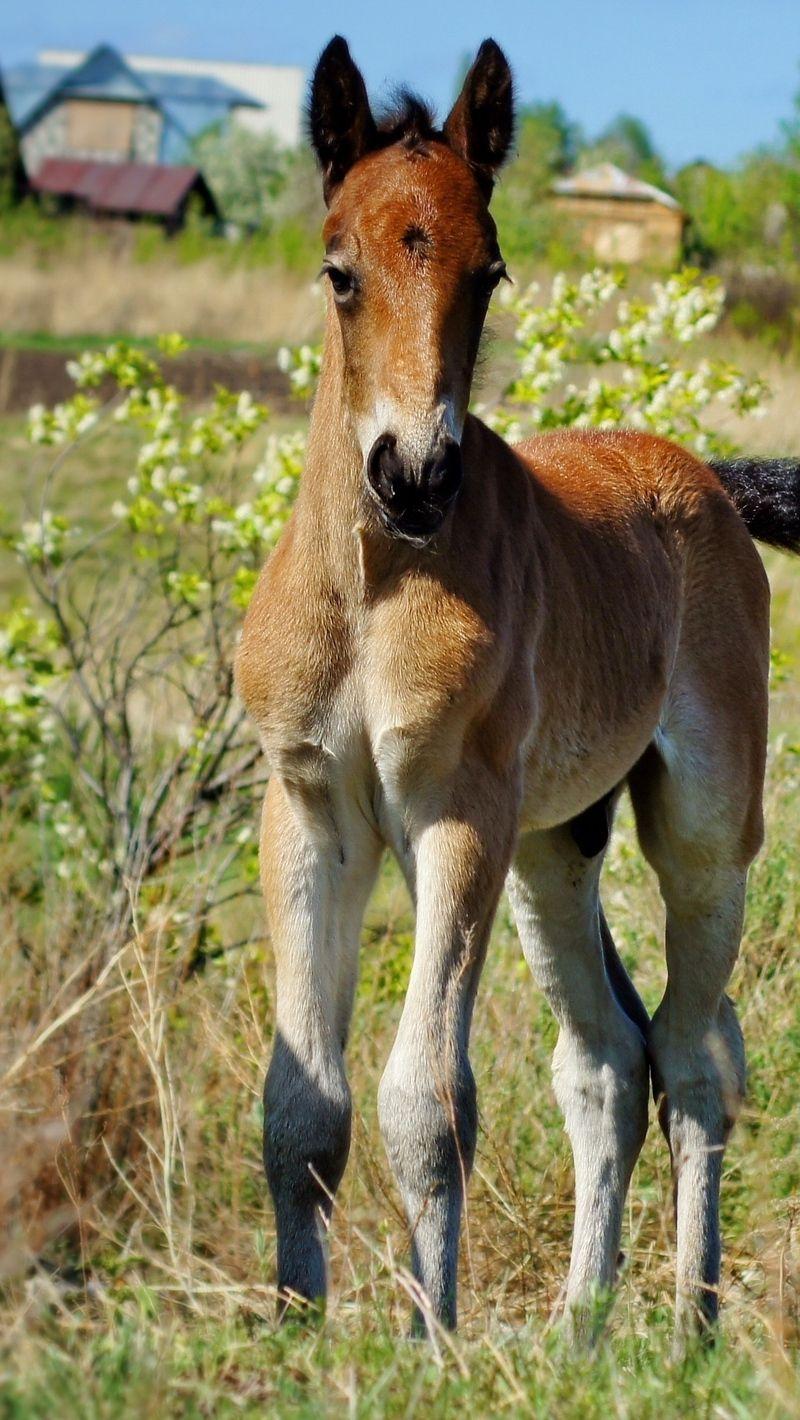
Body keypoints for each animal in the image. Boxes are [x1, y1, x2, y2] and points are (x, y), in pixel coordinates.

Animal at [235, 36, 800, 1344]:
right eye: (337, 271)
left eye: (486, 274)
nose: (415, 476)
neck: (374, 584)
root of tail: (706, 478)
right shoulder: (307, 812)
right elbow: (299, 1106)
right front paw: (293, 1331)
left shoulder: (457, 813)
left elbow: (426, 1101)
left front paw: (428, 1342)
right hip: (556, 846)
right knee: (606, 1059)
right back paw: (579, 1330)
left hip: (700, 833)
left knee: (693, 1056)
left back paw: (686, 1327)